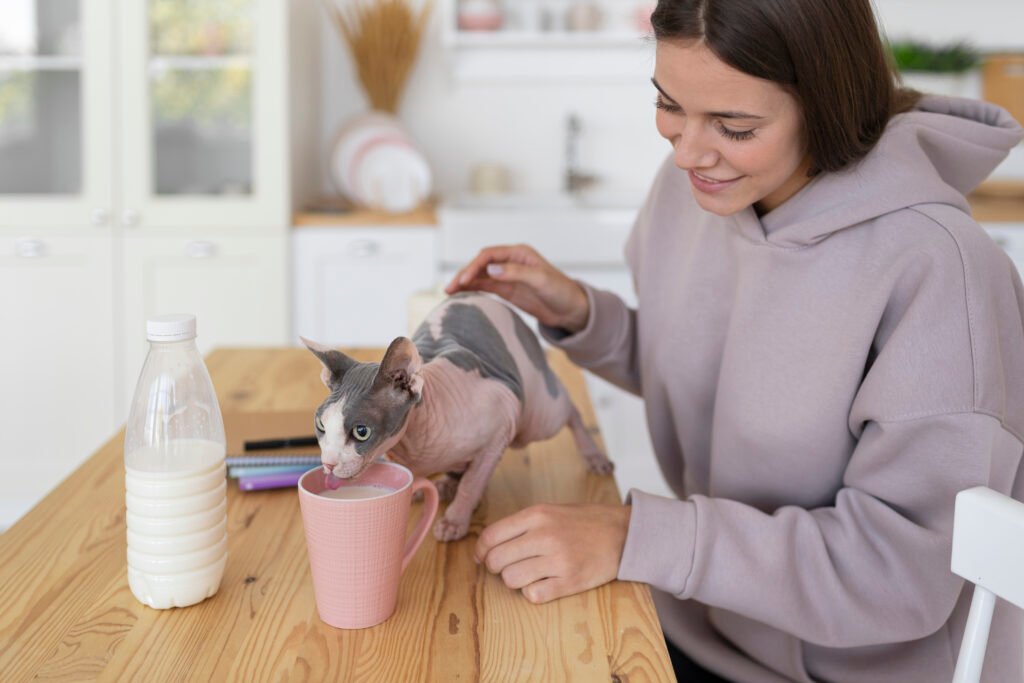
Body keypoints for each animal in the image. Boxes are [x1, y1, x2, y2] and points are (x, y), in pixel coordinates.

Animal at [299, 290, 610, 540]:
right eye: (321, 424)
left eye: (361, 431)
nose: (327, 464)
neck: (415, 443)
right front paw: (422, 489)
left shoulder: (500, 426)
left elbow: (473, 484)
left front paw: (455, 521)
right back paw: (448, 482)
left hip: (538, 416)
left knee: (570, 409)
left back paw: (594, 456)